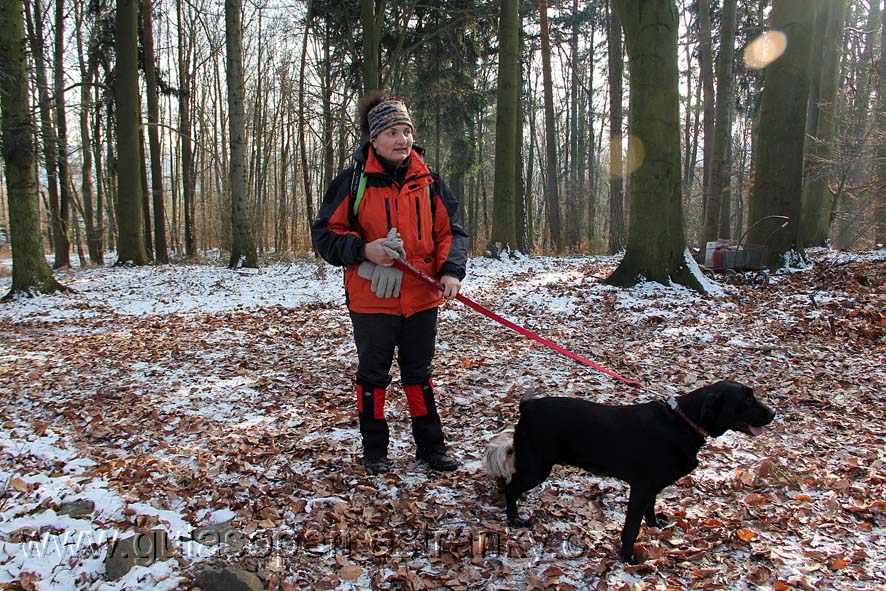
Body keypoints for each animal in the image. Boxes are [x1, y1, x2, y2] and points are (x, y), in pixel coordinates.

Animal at [486, 382, 776, 560]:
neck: (683, 423)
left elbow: (651, 509)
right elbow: (631, 528)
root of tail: (528, 406)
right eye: (746, 399)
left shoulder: (652, 486)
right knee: (509, 487)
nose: (773, 413)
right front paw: (628, 558)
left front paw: (655, 525)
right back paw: (513, 519)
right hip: (538, 466)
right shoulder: (641, 487)